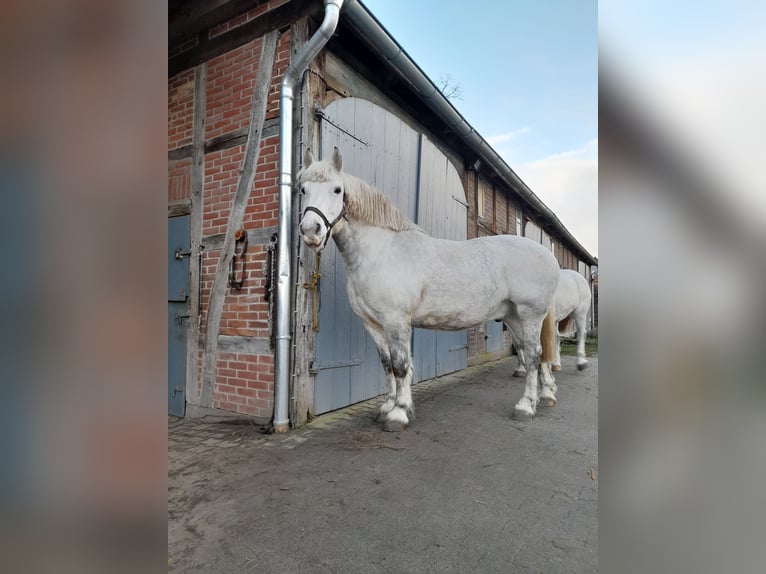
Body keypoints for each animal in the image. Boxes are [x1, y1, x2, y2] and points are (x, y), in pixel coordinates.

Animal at [296, 148, 560, 432]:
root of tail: (548, 256)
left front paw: (398, 414)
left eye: (337, 190)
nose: (311, 231)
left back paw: (525, 407)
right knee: (530, 353)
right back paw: (541, 397)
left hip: (530, 315)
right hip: (514, 318)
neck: (382, 251)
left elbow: (401, 366)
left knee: (533, 356)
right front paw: (387, 408)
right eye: (303, 189)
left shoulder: (396, 321)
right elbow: (387, 365)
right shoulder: (373, 324)